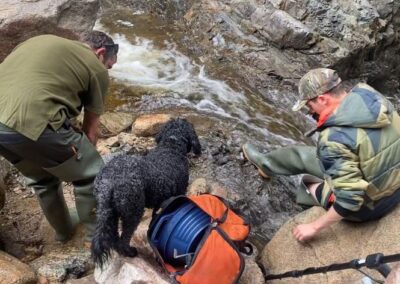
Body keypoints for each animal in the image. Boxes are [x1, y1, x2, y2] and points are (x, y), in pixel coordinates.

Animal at [92, 118, 202, 268]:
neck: (171, 146)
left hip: (110, 212)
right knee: (124, 239)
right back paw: (130, 252)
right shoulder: (179, 192)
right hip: (133, 210)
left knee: (114, 237)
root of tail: (110, 181)